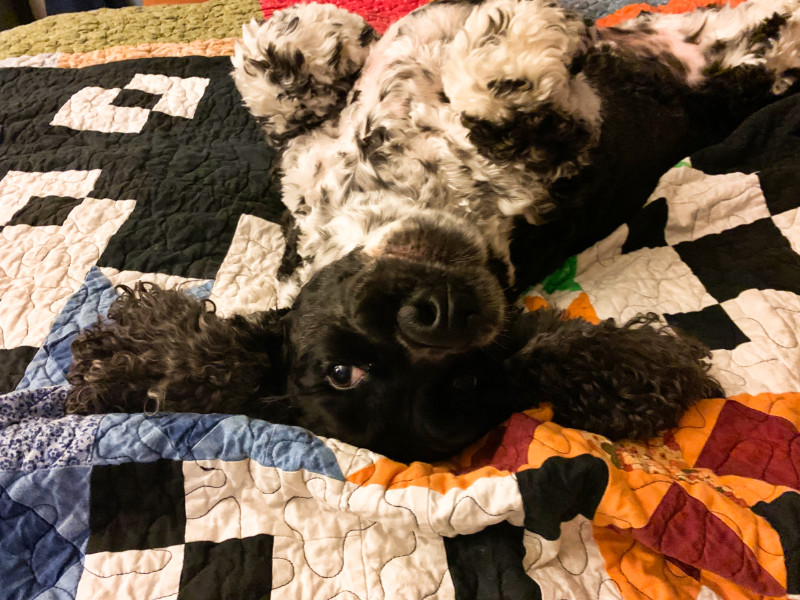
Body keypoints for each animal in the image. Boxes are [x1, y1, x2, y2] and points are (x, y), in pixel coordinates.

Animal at [64, 0, 800, 462]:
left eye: (467, 381)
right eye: (343, 372)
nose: (438, 315)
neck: (401, 202)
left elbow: (281, 89)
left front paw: (326, 37)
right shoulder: (558, 154)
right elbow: (490, 103)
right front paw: (508, 39)